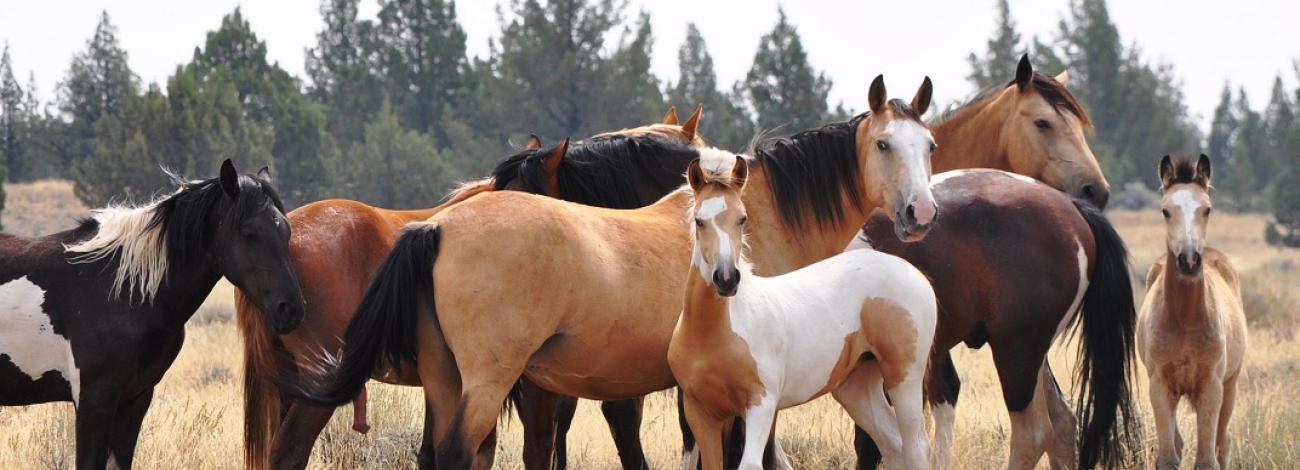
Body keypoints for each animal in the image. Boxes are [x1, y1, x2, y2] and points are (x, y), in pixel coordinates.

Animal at [0, 159, 305, 467]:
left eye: (286, 231)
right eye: (248, 232)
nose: (291, 309)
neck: (122, 289)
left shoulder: (135, 400)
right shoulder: (93, 402)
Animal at [292, 75, 946, 467]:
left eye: (930, 145)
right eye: (885, 145)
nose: (921, 212)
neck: (756, 218)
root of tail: (437, 228)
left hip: (446, 379)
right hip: (486, 381)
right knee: (456, 453)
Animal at [852, 55, 1138, 470]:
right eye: (1043, 123)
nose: (1096, 190)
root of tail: (1073, 209)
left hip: (1017, 350)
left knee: (1036, 431)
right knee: (1061, 424)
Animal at [1144, 155, 1242, 470]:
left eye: (1207, 209)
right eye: (1165, 210)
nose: (1189, 261)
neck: (1186, 320)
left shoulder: (1212, 387)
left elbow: (1208, 460)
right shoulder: (1160, 386)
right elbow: (1167, 457)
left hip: (1230, 386)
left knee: (1222, 445)